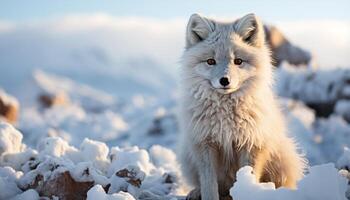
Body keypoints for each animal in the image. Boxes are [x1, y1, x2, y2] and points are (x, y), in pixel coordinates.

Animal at [178, 12, 306, 200]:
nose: (224, 80)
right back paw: (196, 192)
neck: (226, 117)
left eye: (238, 61)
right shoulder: (204, 144)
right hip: (187, 157)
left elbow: (248, 176)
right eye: (210, 61)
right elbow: (209, 185)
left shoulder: (252, 144)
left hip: (281, 160)